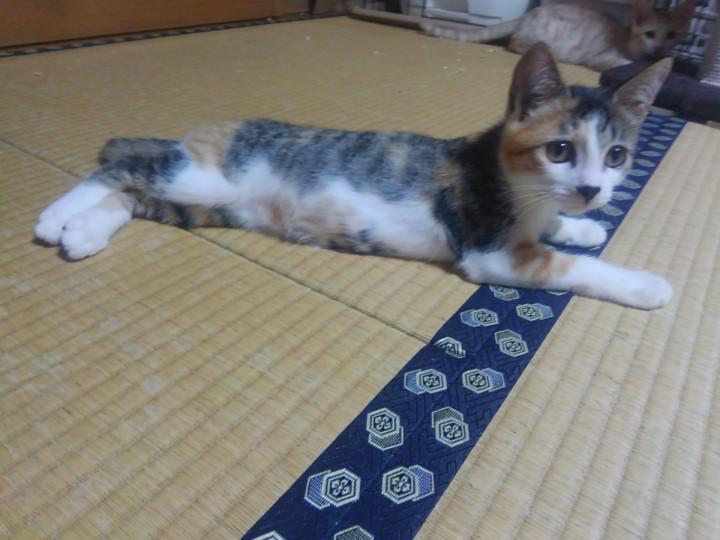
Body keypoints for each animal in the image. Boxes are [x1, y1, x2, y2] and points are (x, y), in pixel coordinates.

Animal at [35, 43, 673, 309]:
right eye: (560, 149)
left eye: (617, 157)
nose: (591, 189)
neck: (516, 183)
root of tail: (220, 125)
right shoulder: (488, 249)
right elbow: (567, 266)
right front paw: (646, 285)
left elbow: (555, 231)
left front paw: (581, 225)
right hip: (201, 178)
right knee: (120, 165)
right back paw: (53, 218)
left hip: (207, 204)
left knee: (133, 193)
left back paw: (83, 233)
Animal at [421, 0, 697, 72]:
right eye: (650, 34)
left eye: (671, 35)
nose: (659, 48)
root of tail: (528, 14)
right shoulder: (601, 57)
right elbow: (622, 63)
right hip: (541, 34)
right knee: (515, 43)